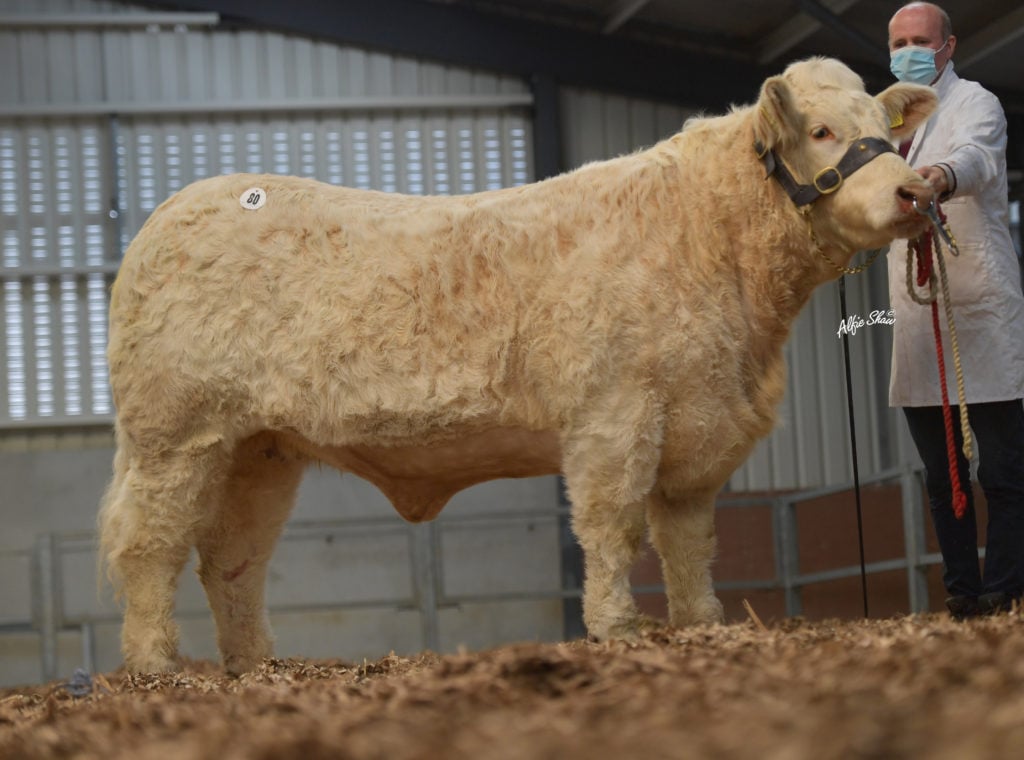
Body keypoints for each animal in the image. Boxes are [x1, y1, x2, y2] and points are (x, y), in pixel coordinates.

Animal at [98, 57, 937, 674]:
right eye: (823, 130)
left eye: (887, 132)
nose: (914, 191)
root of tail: (170, 216)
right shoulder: (613, 414)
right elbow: (612, 527)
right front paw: (617, 629)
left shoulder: (700, 426)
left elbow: (689, 540)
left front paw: (704, 625)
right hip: (174, 435)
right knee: (148, 544)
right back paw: (154, 665)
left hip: (259, 449)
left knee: (232, 559)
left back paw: (255, 665)